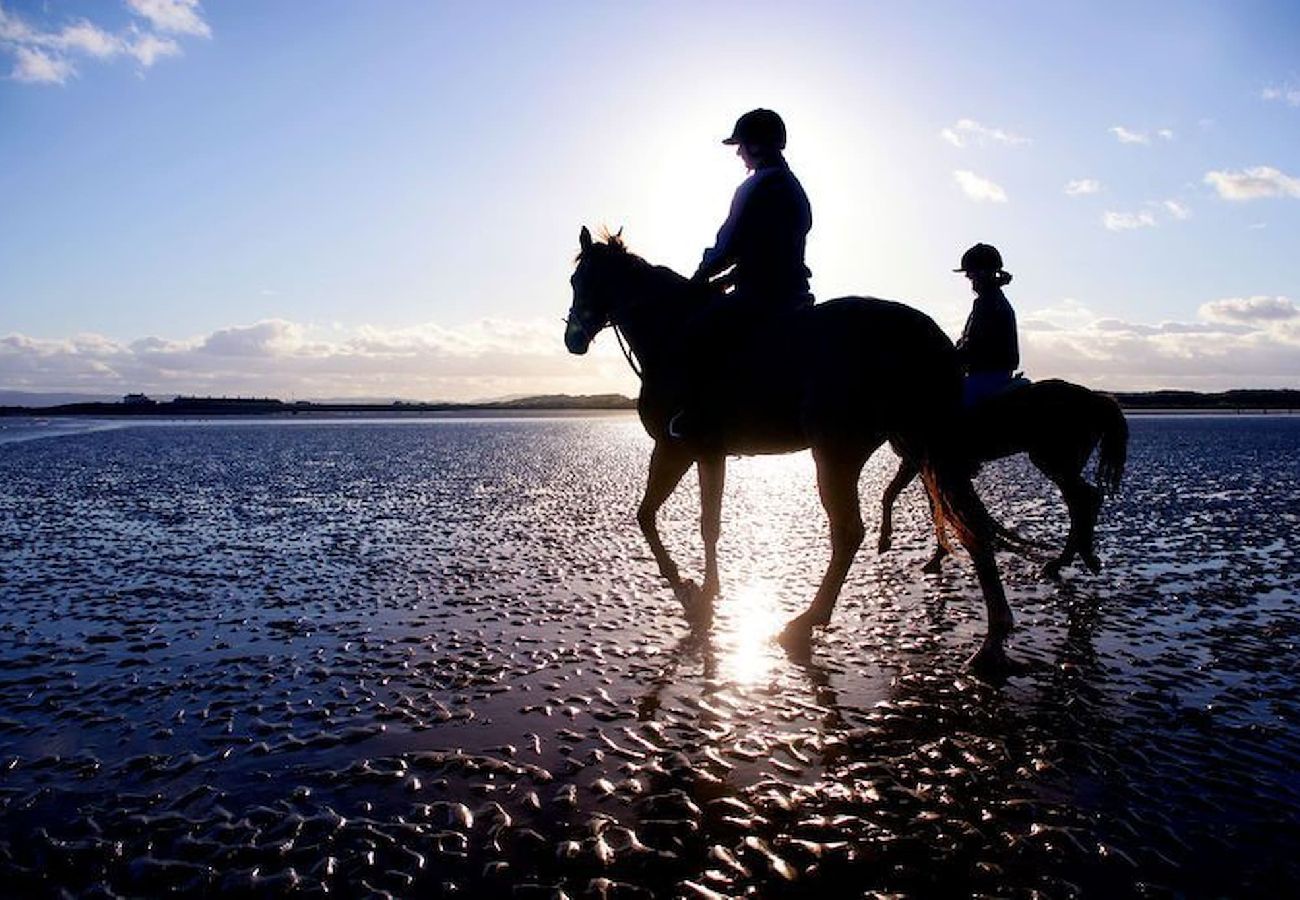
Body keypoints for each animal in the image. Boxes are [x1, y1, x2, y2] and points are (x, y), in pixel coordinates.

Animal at [569, 228, 1013, 671]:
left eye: (584, 280)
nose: (572, 339)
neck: (672, 330)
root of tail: (927, 334)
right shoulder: (707, 454)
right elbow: (705, 522)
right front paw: (706, 592)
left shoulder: (675, 447)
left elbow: (651, 518)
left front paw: (688, 592)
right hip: (920, 448)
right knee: (972, 524)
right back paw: (993, 638)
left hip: (837, 453)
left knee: (849, 532)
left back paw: (807, 620)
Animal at [873, 377, 1128, 577]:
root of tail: (1095, 399)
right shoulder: (926, 467)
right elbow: (933, 506)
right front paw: (936, 557)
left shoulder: (916, 462)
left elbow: (892, 495)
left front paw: (886, 541)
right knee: (1081, 501)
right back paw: (1078, 558)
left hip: (1054, 462)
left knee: (1084, 500)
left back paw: (1065, 561)